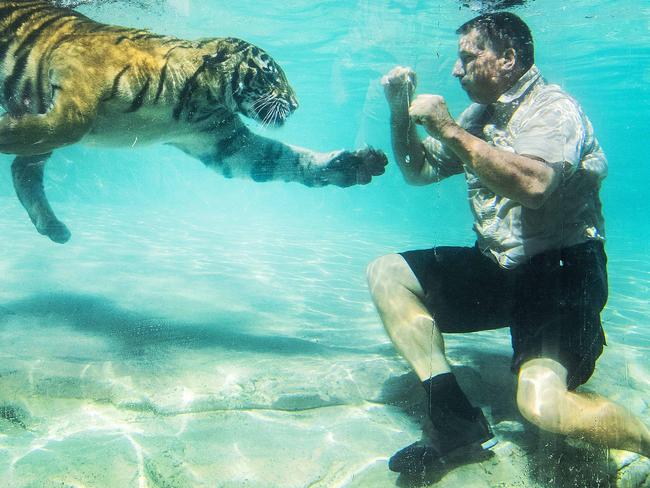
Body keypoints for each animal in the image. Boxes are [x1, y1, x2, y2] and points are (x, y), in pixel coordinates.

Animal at [0, 0, 384, 244]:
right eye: (270, 74)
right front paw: (6, 128)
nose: (296, 104)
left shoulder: (224, 141)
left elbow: (278, 158)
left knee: (24, 167)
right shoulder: (77, 69)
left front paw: (354, 164)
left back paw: (54, 228)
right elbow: (72, 123)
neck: (196, 98)